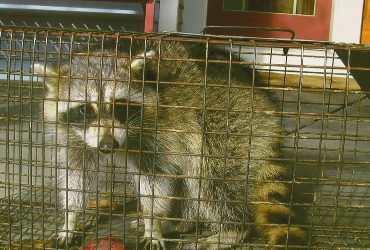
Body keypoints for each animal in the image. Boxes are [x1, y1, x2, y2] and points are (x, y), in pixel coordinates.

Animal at [34, 38, 306, 249]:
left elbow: (156, 178)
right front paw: (70, 218)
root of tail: (265, 101)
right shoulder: (76, 136)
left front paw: (153, 222)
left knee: (211, 177)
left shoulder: (159, 131)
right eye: (84, 110)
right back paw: (182, 223)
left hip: (228, 124)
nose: (107, 146)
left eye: (120, 106)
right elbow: (76, 175)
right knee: (190, 179)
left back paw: (232, 230)